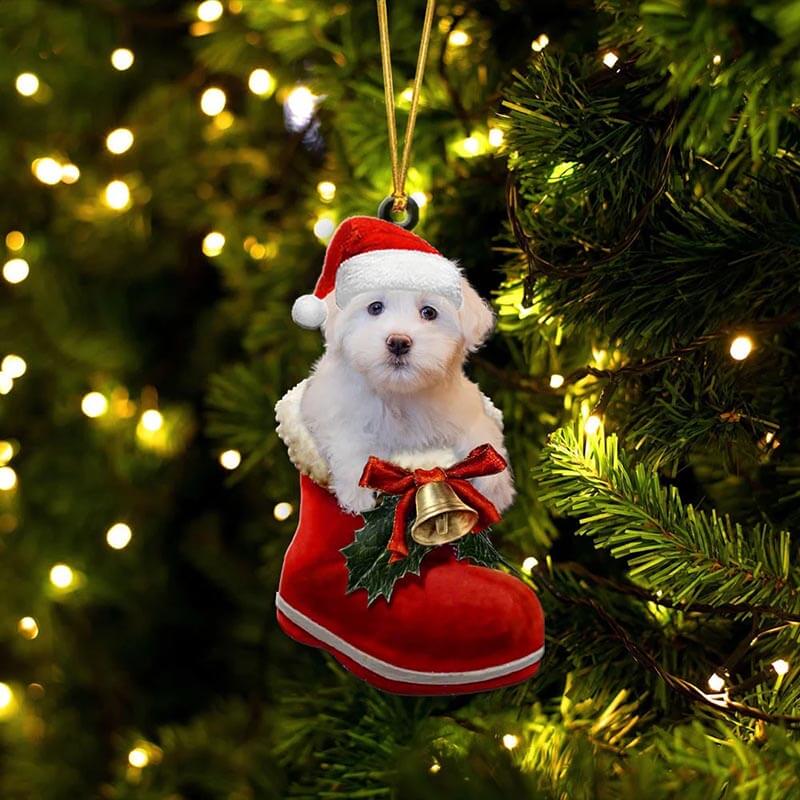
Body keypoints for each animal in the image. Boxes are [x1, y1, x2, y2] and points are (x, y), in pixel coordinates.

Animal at [296, 278, 516, 516]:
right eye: (375, 307)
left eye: (429, 312)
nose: (398, 342)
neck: (399, 393)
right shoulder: (327, 407)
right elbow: (348, 438)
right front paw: (358, 492)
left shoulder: (462, 409)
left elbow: (483, 432)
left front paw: (495, 486)